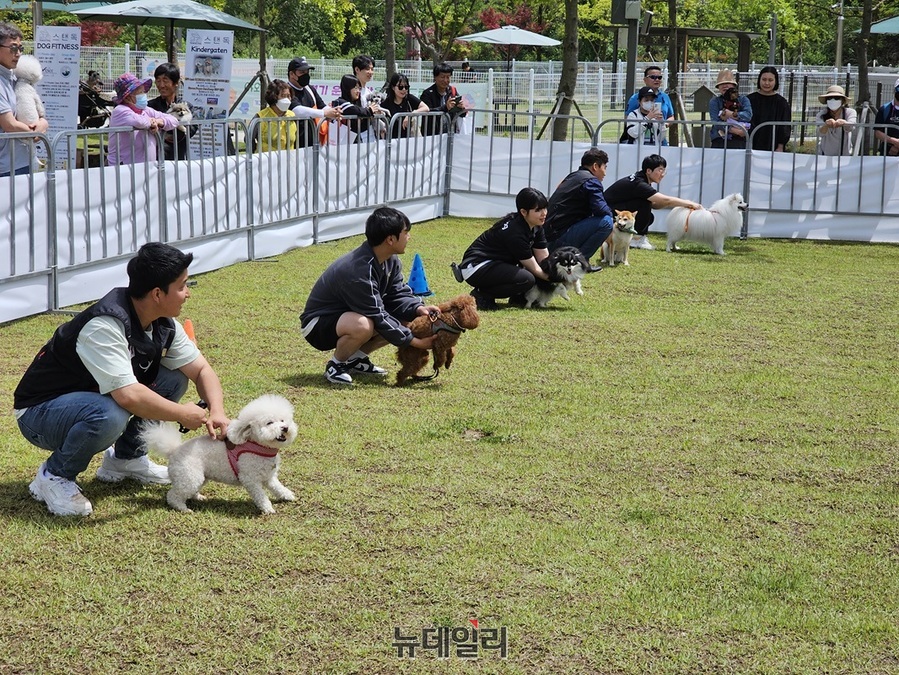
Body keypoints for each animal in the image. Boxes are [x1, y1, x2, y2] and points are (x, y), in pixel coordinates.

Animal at [139, 394, 298, 516]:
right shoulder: (250, 479)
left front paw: (288, 496)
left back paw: (198, 497)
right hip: (190, 476)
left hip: (199, 477)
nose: (285, 428)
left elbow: (278, 487)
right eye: (269, 422)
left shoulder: (269, 477)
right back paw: (183, 508)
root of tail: (174, 450)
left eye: (282, 420)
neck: (260, 447)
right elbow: (261, 496)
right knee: (173, 496)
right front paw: (268, 508)